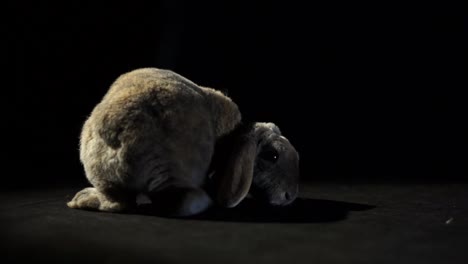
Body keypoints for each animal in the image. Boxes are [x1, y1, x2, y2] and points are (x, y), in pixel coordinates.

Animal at [66, 68, 300, 217]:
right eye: (272, 156)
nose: (290, 196)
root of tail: (117, 134)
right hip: (172, 174)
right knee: (183, 202)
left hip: (106, 180)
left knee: (115, 203)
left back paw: (83, 199)